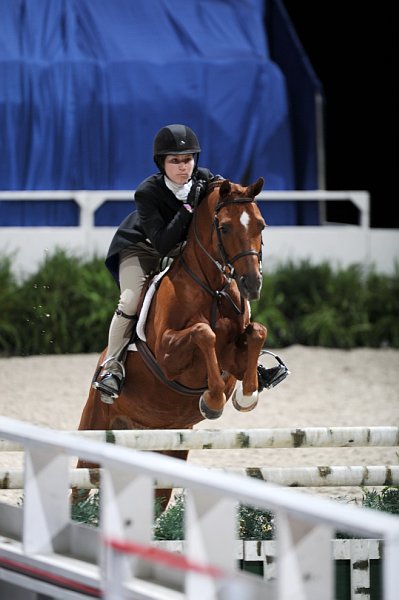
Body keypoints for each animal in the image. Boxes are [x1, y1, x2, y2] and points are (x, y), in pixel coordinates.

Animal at [76, 177, 268, 506]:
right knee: (77, 490)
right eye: (225, 227)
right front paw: (212, 401)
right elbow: (204, 333)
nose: (252, 284)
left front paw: (248, 396)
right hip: (94, 429)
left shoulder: (234, 359)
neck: (213, 288)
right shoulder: (167, 356)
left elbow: (257, 332)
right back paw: (110, 378)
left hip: (168, 450)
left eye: (261, 225)